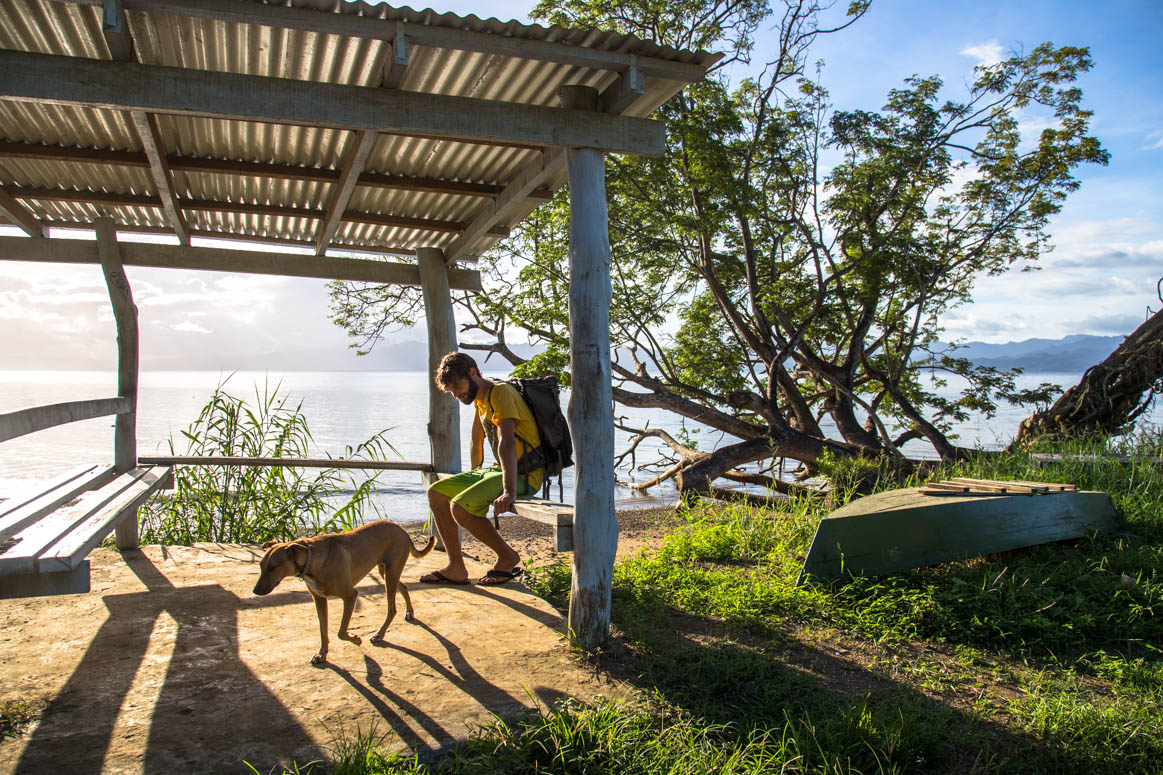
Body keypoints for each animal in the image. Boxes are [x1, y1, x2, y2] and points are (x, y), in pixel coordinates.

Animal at [253, 516, 437, 660]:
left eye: (273, 567)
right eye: (261, 566)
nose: (255, 591)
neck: (312, 560)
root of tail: (402, 529)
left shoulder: (350, 595)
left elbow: (341, 632)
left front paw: (355, 639)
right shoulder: (319, 599)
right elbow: (323, 629)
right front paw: (322, 653)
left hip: (390, 574)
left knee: (392, 609)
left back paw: (379, 634)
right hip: (386, 571)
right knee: (404, 587)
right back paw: (409, 612)